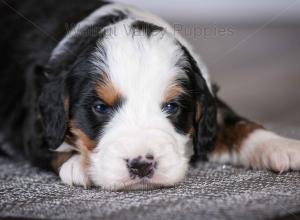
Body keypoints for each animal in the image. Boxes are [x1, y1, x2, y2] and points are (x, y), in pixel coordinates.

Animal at [0, 0, 300, 190]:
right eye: (100, 107)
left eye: (172, 107)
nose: (141, 165)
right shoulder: (30, 118)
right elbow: (51, 146)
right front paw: (78, 164)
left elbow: (237, 124)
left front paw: (281, 146)